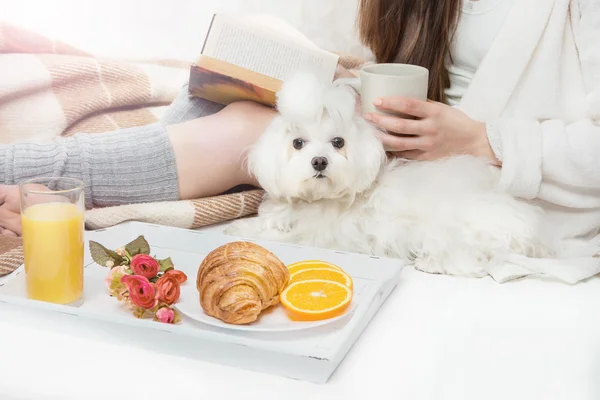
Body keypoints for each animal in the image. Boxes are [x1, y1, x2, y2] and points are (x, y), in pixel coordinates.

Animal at [225, 72, 552, 276]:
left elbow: (277, 235)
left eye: (338, 142)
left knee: (471, 258)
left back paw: (433, 263)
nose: (319, 162)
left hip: (453, 229)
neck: (317, 200)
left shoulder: (320, 236)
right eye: (297, 143)